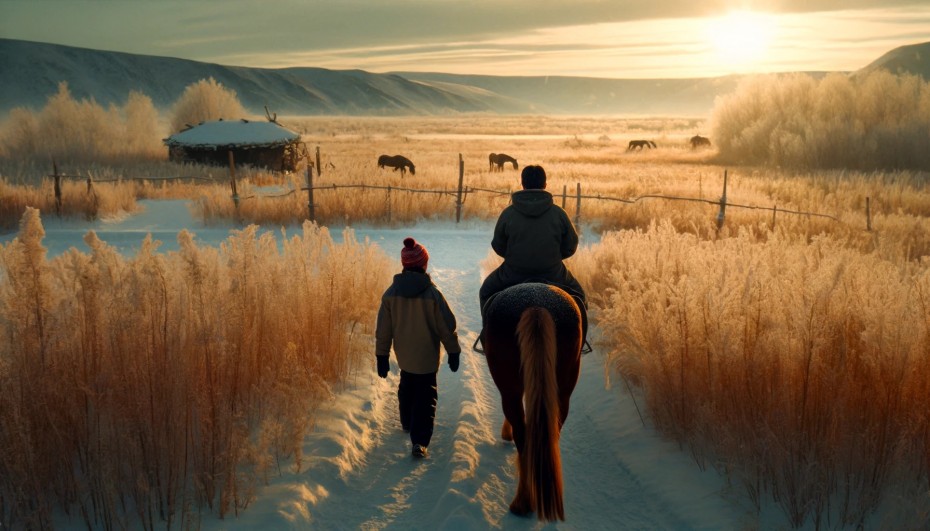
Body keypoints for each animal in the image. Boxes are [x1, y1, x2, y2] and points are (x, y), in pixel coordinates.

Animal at [478, 284, 580, 520]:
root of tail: (536, 306)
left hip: (510, 388)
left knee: (522, 436)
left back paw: (522, 502)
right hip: (563, 389)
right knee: (551, 431)